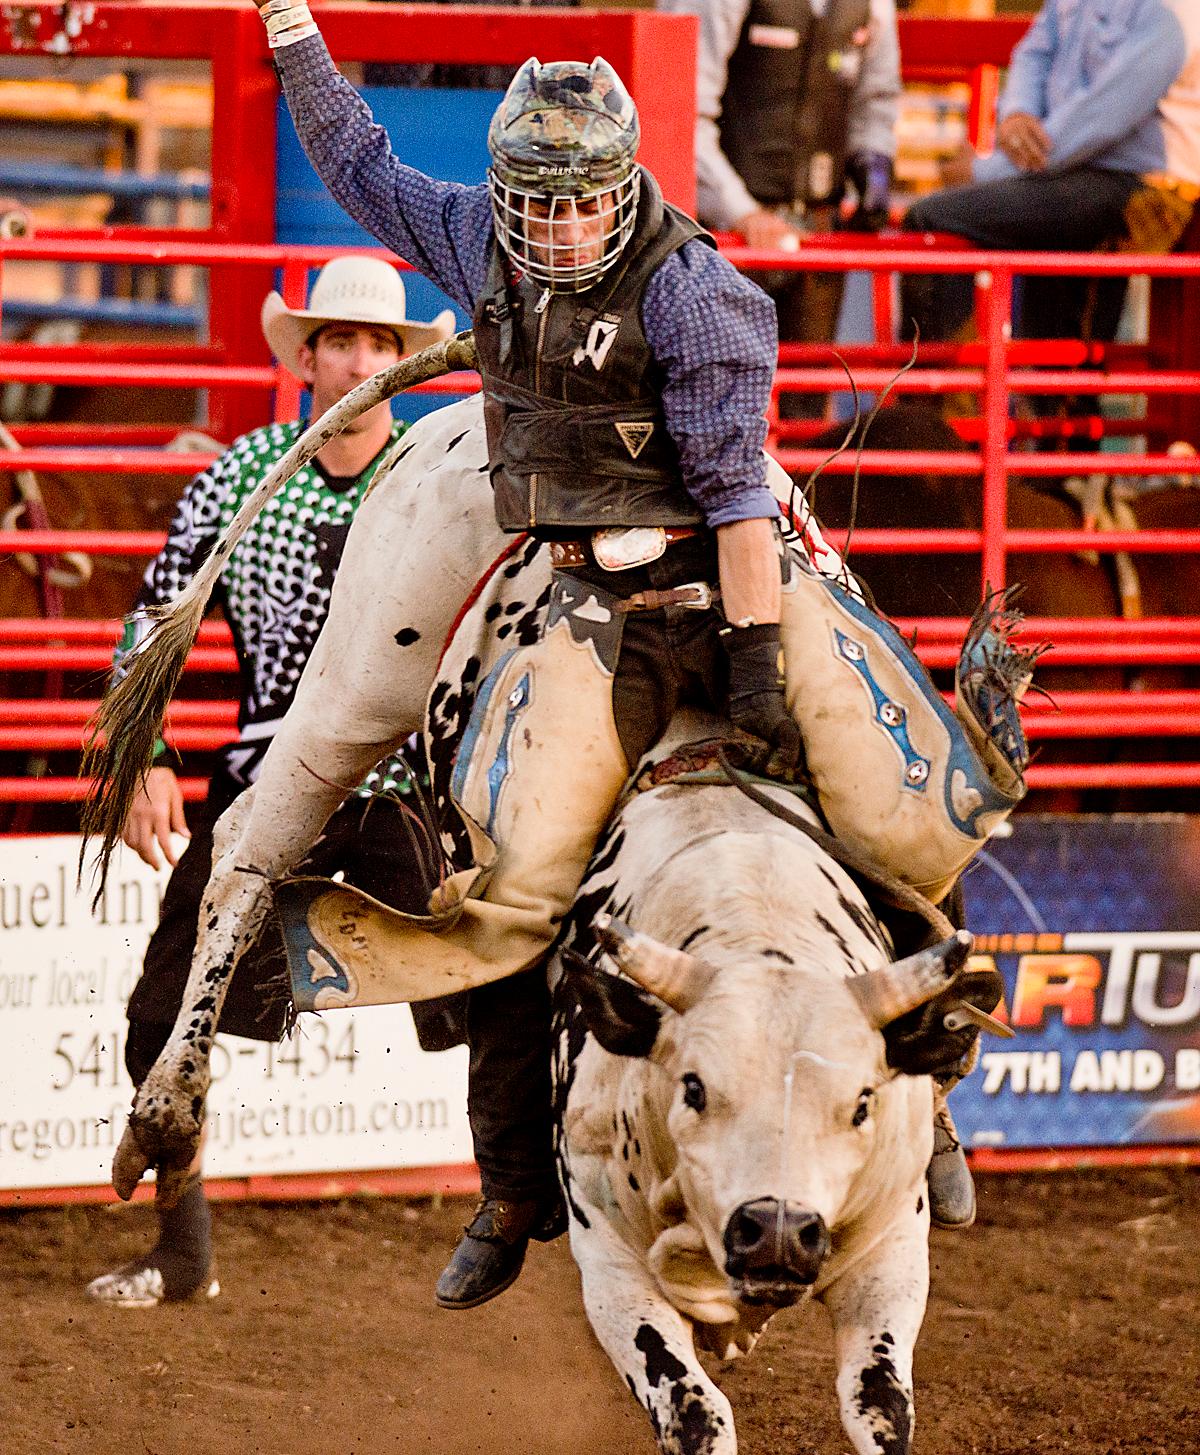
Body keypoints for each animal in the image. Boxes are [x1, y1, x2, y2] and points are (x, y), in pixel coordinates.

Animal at [86, 360, 1012, 1443]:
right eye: (693, 1086)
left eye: (859, 1099)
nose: (777, 1232)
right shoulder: (611, 1261)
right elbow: (692, 1408)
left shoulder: (887, 1254)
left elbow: (880, 1405)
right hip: (362, 672)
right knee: (249, 850)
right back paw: (167, 1115)